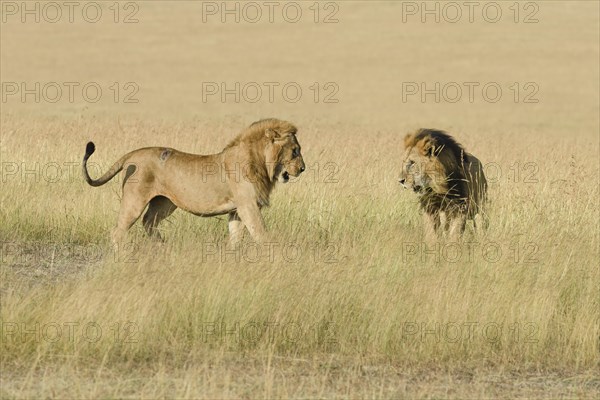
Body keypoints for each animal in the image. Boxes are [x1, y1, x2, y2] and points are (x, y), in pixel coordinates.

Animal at [83, 117, 304, 245]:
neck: (260, 162)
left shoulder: (236, 209)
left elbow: (236, 237)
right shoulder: (248, 205)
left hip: (164, 203)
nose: (303, 168)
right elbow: (261, 234)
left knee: (148, 223)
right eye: (295, 151)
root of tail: (132, 154)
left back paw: (162, 247)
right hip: (135, 200)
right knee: (117, 231)